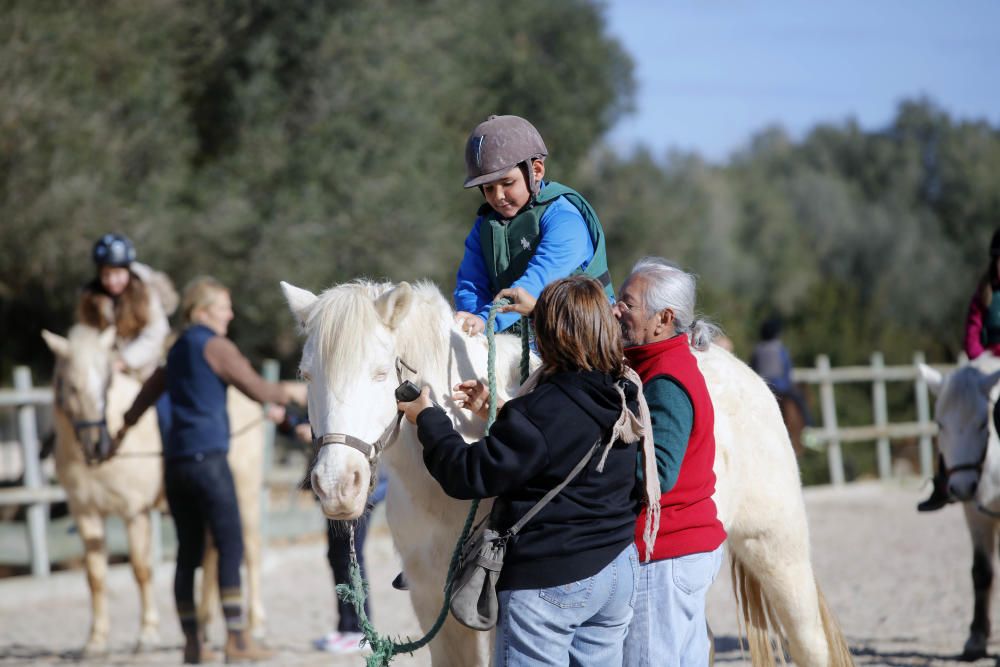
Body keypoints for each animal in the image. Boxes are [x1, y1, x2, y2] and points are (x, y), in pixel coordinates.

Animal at [42, 326, 268, 656]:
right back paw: (204, 625)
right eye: (70, 386)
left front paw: (147, 633)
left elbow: (140, 569)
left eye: (107, 383)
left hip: (244, 494)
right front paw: (96, 640)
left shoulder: (134, 512)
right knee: (212, 556)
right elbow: (95, 577)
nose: (96, 444)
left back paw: (255, 625)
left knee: (250, 551)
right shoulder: (86, 514)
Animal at [282, 280, 852, 667]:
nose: (336, 486)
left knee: (809, 643)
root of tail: (751, 380)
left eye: (381, 373)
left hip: (776, 549)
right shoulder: (433, 604)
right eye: (306, 375)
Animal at [916, 352, 1000, 660]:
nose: (962, 487)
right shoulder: (975, 513)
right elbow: (982, 571)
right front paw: (976, 638)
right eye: (940, 424)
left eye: (982, 424)